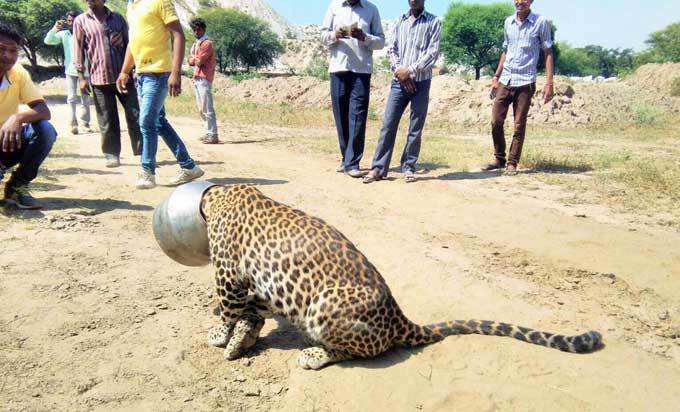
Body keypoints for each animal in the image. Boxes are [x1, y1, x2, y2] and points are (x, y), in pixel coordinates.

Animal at [199, 184, 604, 370]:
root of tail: (399, 318)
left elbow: (227, 308)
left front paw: (220, 333)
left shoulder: (228, 274)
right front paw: (241, 337)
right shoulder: (258, 284)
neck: (222, 193)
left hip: (326, 306)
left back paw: (314, 354)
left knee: (355, 351)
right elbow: (251, 311)